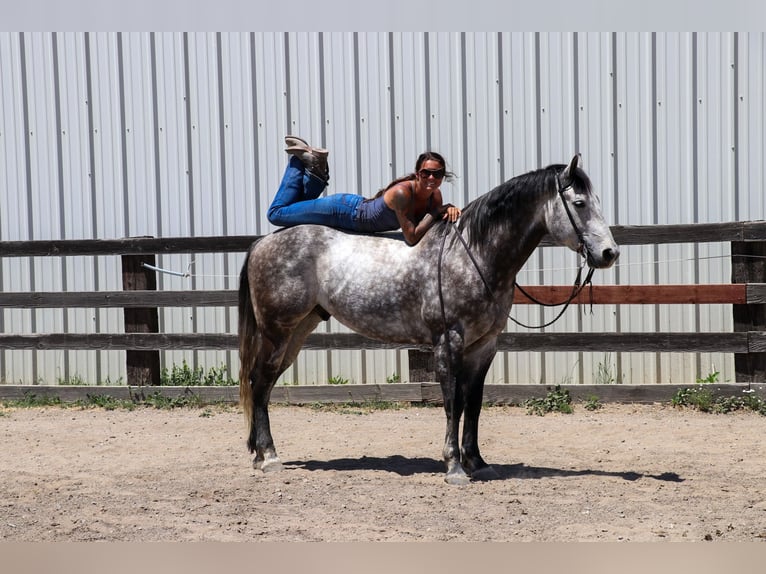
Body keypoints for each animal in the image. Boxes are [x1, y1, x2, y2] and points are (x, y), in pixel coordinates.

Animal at [242, 154, 624, 486]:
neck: (474, 254)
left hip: (298, 331)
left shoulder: (484, 347)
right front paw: (454, 467)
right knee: (260, 382)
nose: (609, 253)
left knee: (264, 384)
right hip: (277, 331)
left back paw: (260, 455)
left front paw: (478, 463)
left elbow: (474, 404)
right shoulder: (448, 343)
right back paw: (270, 457)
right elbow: (452, 403)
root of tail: (262, 242)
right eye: (579, 203)